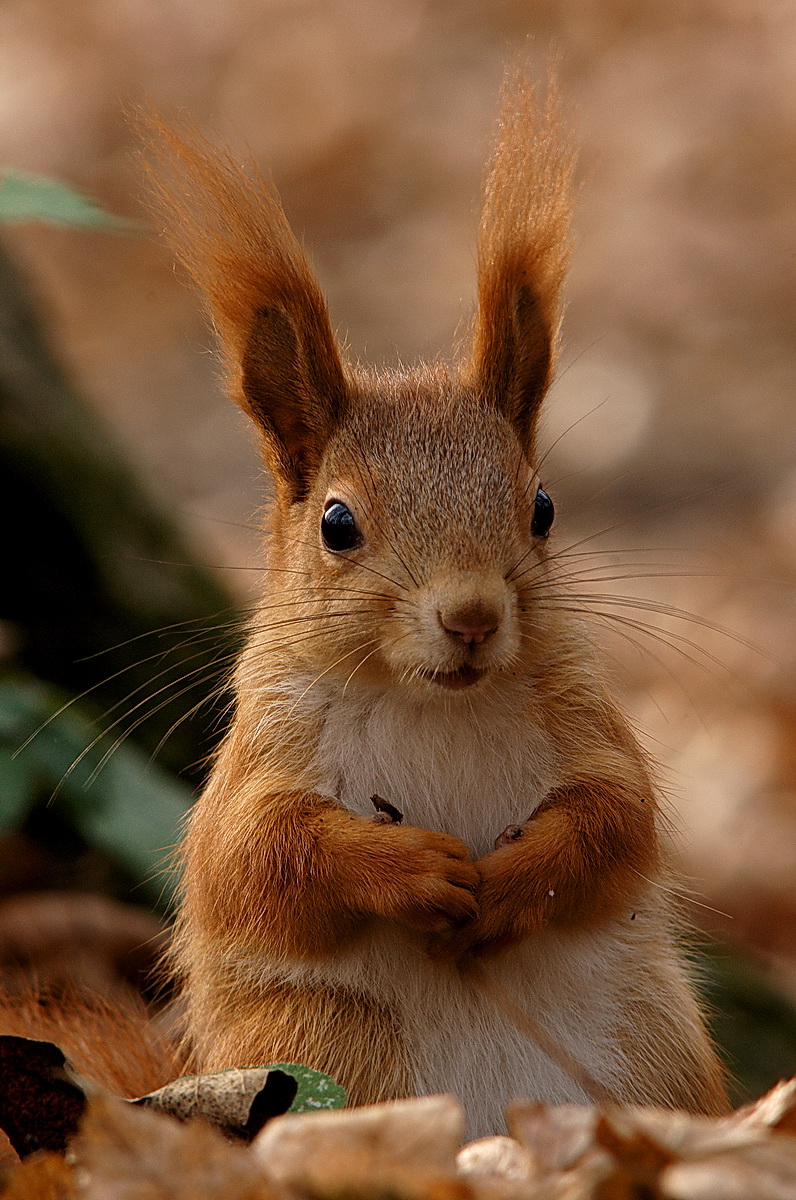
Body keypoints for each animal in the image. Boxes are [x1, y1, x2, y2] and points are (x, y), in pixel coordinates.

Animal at [142, 71, 729, 1138]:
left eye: (542, 508)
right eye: (337, 524)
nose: (470, 618)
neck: (433, 701)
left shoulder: (586, 716)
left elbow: (619, 819)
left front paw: (513, 882)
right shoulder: (262, 751)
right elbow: (254, 857)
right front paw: (408, 870)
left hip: (650, 1060)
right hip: (314, 1047)